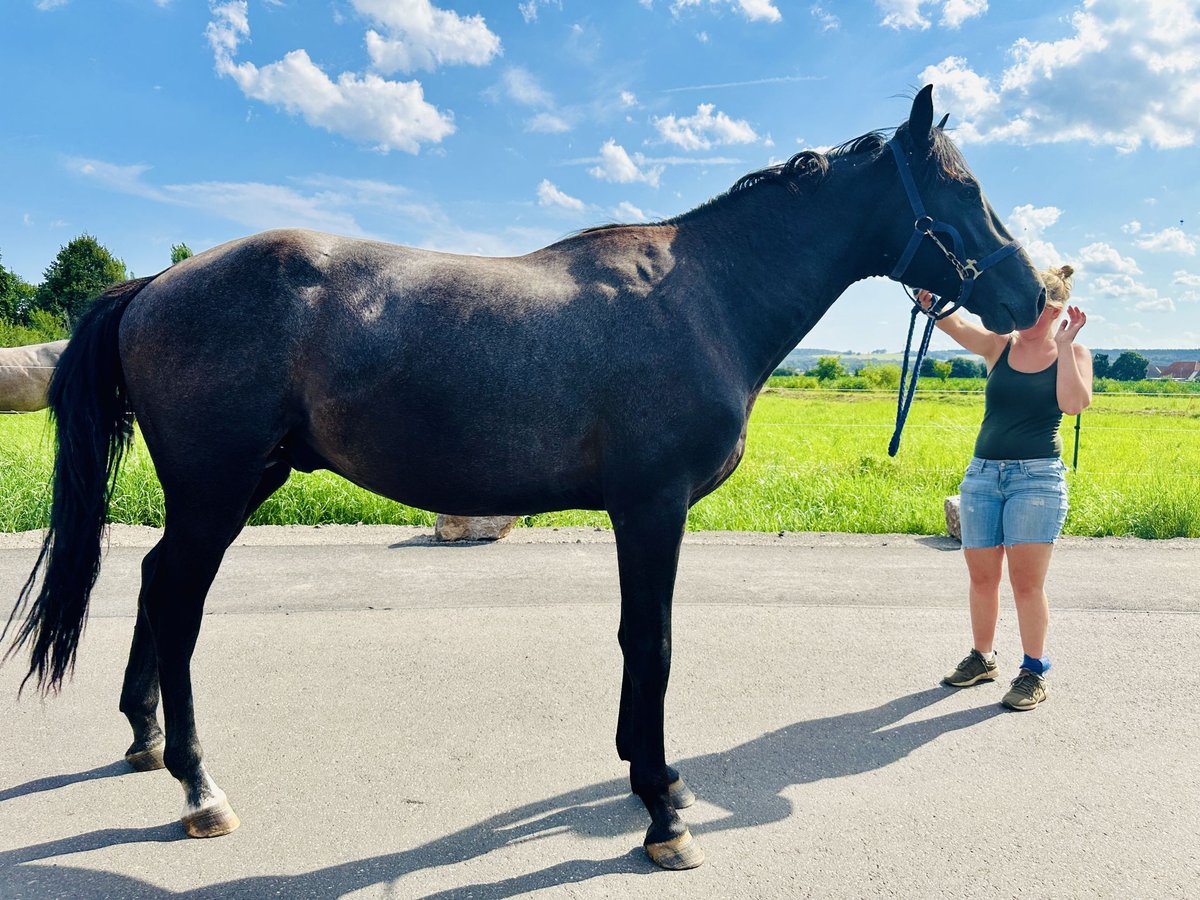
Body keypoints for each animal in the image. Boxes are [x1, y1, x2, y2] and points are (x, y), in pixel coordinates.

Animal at [4, 88, 1041, 868]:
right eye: (963, 190)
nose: (1034, 294)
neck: (705, 295)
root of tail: (153, 285)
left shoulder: (637, 513)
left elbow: (637, 643)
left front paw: (646, 775)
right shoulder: (652, 509)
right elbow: (653, 644)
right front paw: (662, 808)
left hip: (236, 485)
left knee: (153, 583)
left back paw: (145, 742)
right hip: (219, 489)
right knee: (178, 600)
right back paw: (198, 784)